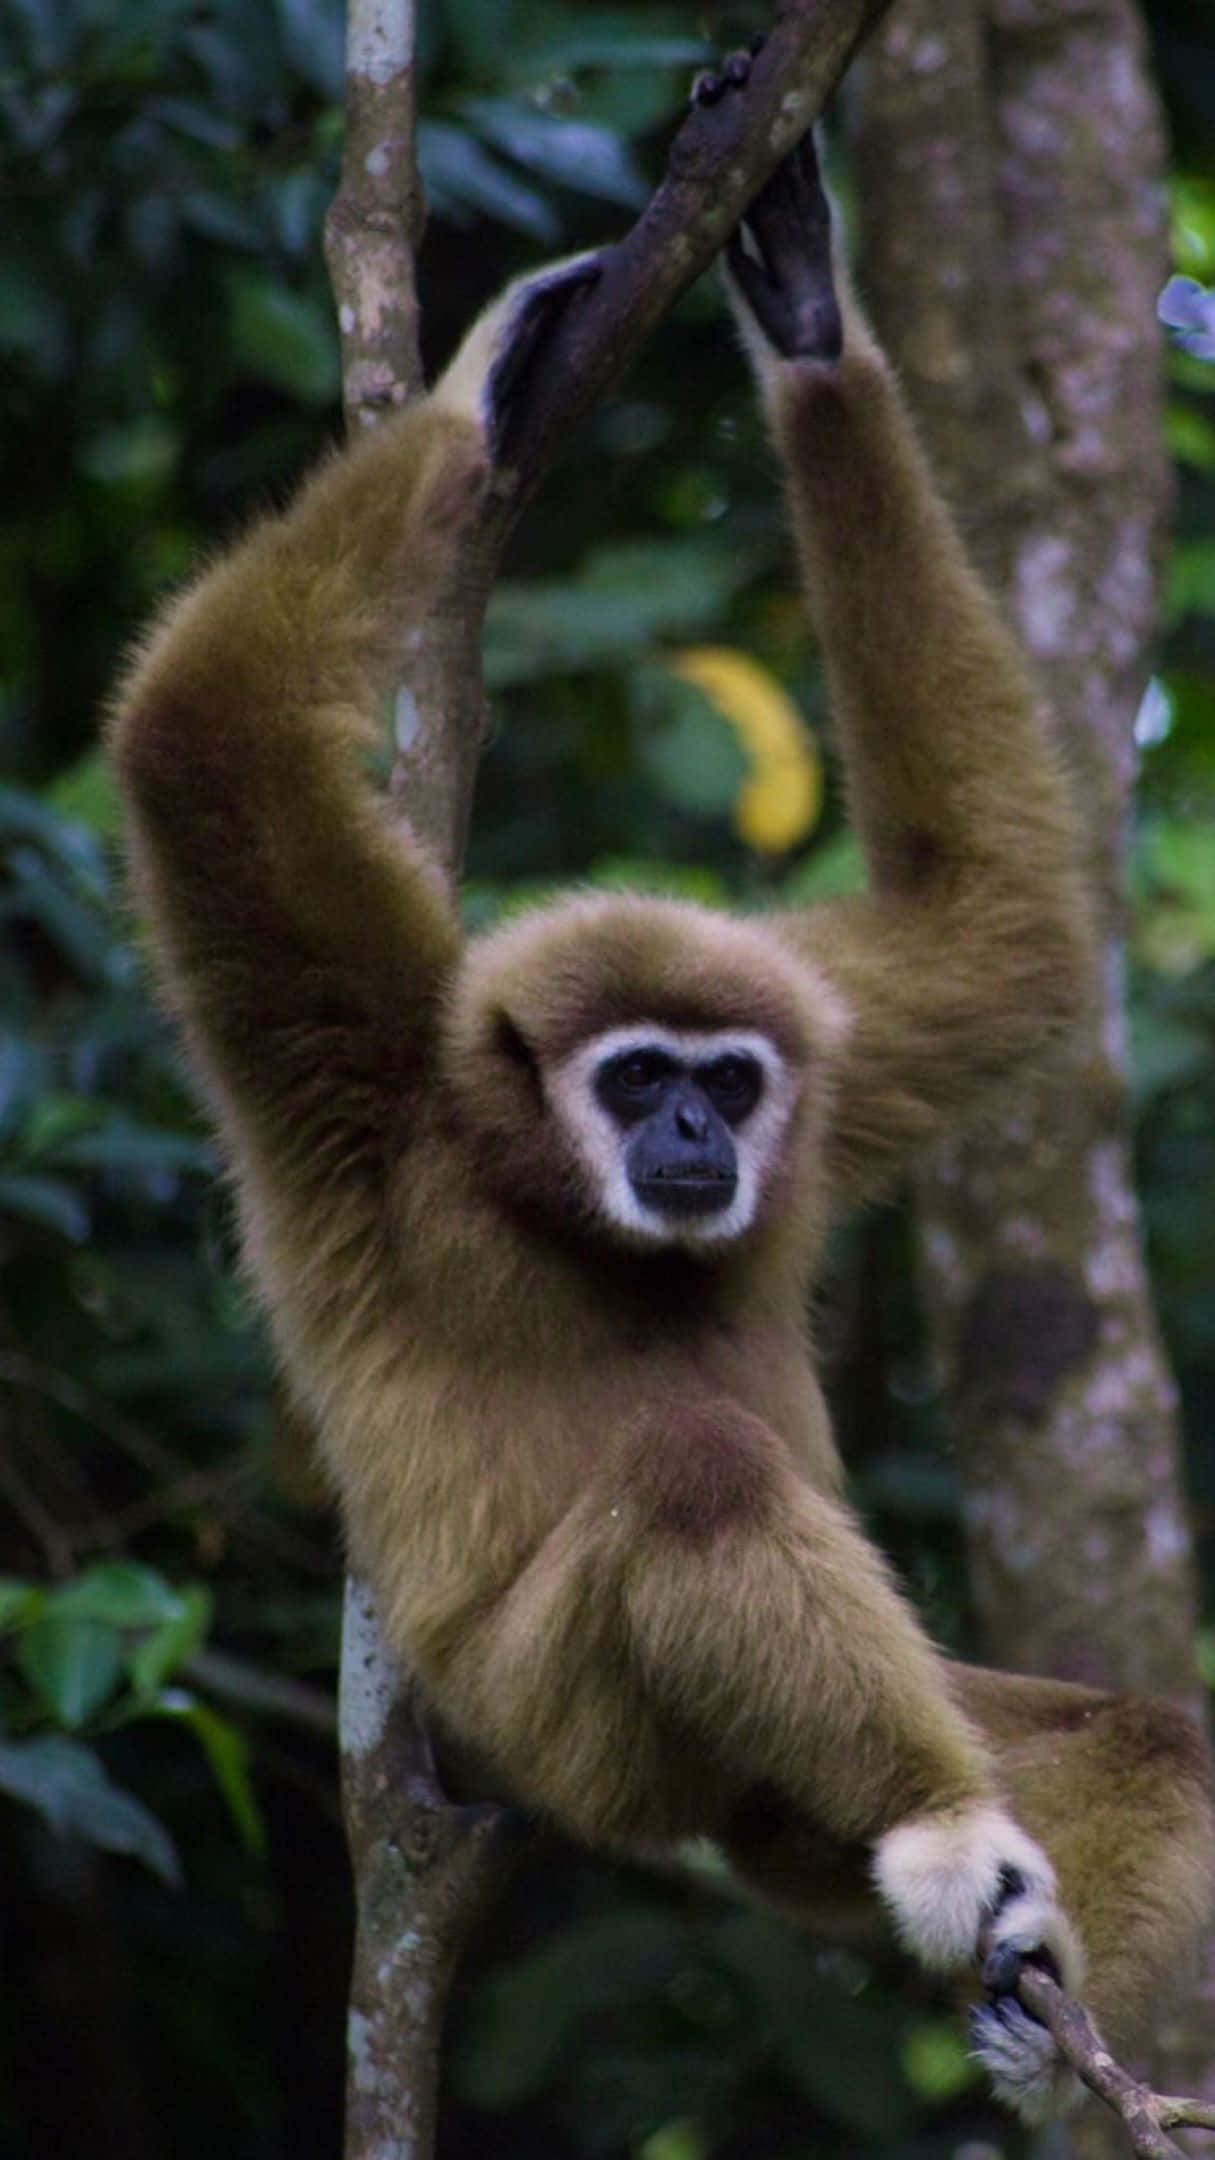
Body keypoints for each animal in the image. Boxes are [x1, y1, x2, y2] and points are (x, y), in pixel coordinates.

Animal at [109, 79, 1213, 2128]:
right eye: (635, 1081)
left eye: (724, 1082)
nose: (694, 1141)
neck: (538, 1186)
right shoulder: (370, 1084)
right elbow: (192, 739)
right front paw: (479, 387)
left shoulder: (828, 1062)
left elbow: (1001, 933)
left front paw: (804, 315)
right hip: (586, 1735)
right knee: (693, 1492)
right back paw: (955, 1856)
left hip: (801, 1795)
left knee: (1144, 1742)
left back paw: (1047, 2019)